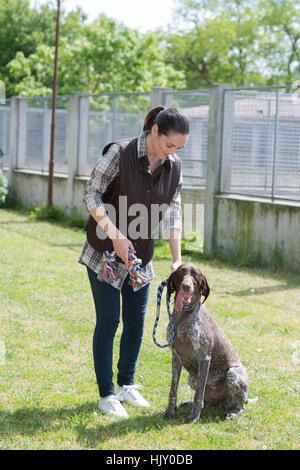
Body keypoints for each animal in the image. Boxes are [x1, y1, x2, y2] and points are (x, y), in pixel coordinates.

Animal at [163, 262, 256, 424]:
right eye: (181, 272)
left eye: (195, 275)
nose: (186, 286)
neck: (184, 317)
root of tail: (222, 402)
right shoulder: (176, 356)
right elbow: (173, 389)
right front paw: (171, 411)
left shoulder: (204, 357)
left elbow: (198, 395)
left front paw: (194, 417)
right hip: (191, 377)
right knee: (206, 401)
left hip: (234, 374)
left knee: (240, 407)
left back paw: (232, 412)